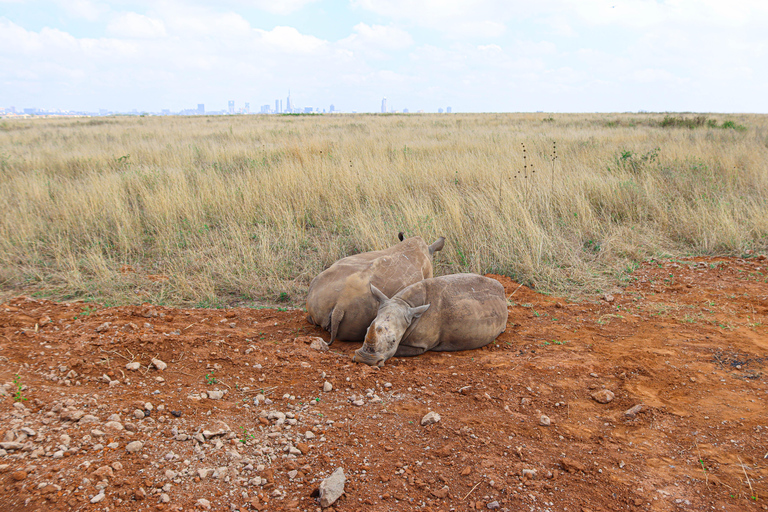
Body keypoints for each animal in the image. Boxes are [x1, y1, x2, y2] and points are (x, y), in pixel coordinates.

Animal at [352, 274, 508, 366]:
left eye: (393, 341)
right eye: (367, 330)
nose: (365, 360)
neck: (405, 304)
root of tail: (501, 287)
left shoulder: (419, 345)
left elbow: (397, 351)